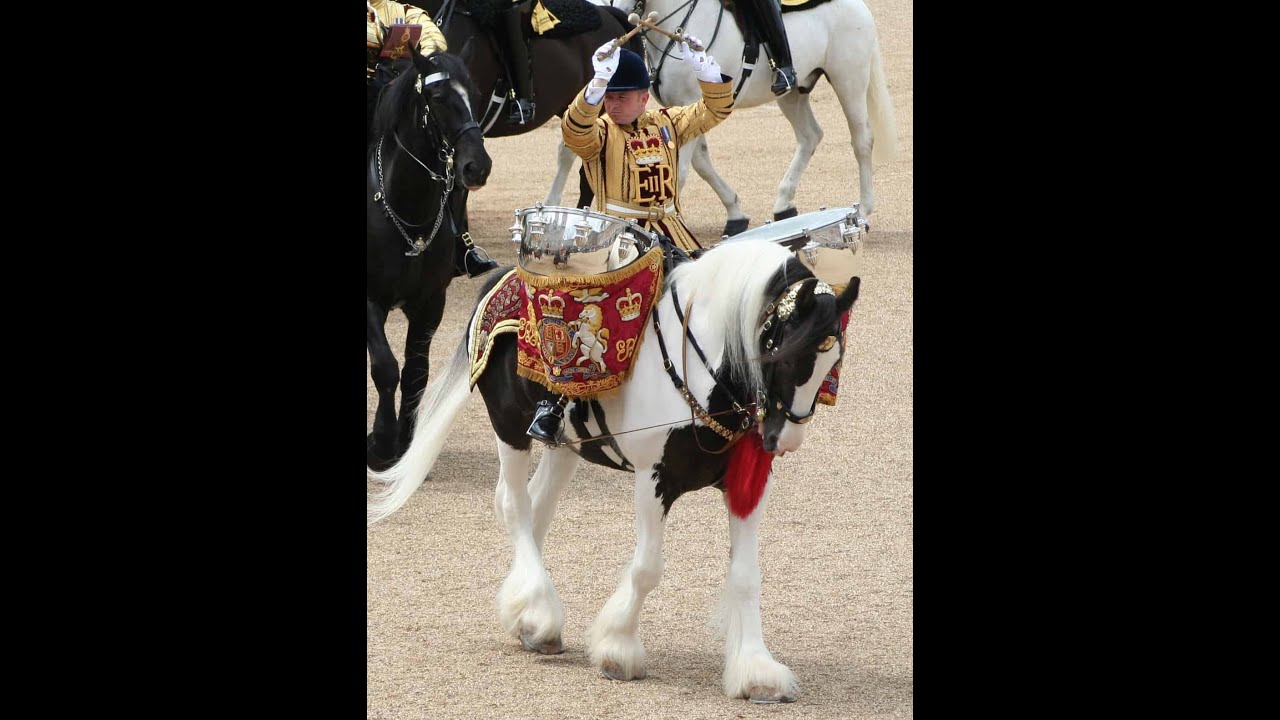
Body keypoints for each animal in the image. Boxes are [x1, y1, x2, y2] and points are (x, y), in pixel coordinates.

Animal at [367, 49, 493, 471]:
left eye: (474, 94)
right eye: (437, 98)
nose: (477, 165)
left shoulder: (429, 303)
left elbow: (415, 373)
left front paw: (404, 442)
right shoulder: (369, 300)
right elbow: (386, 368)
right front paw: (381, 444)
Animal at [367, 238, 861, 702]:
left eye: (832, 362)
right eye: (784, 354)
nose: (784, 440)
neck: (703, 371)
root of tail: (501, 277)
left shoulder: (747, 483)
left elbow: (746, 575)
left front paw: (757, 671)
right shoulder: (654, 477)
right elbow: (647, 569)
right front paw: (618, 648)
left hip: (564, 444)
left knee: (536, 508)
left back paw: (527, 616)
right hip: (508, 426)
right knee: (512, 503)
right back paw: (541, 614)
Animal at [547, 0, 898, 235]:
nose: (614, 17)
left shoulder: (689, 102)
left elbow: (682, 173)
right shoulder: (683, 110)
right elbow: (701, 163)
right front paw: (735, 214)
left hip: (849, 79)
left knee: (861, 140)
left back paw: (863, 209)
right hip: (793, 94)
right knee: (810, 135)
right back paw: (784, 204)